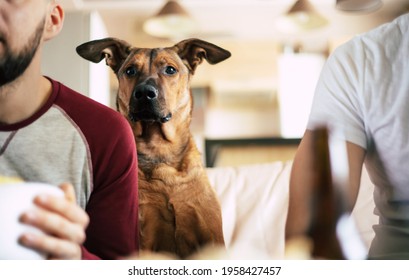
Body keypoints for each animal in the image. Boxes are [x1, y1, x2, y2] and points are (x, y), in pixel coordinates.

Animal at [75, 37, 230, 258]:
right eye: (130, 70)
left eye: (170, 70)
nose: (144, 93)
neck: (159, 150)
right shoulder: (144, 234)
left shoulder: (211, 234)